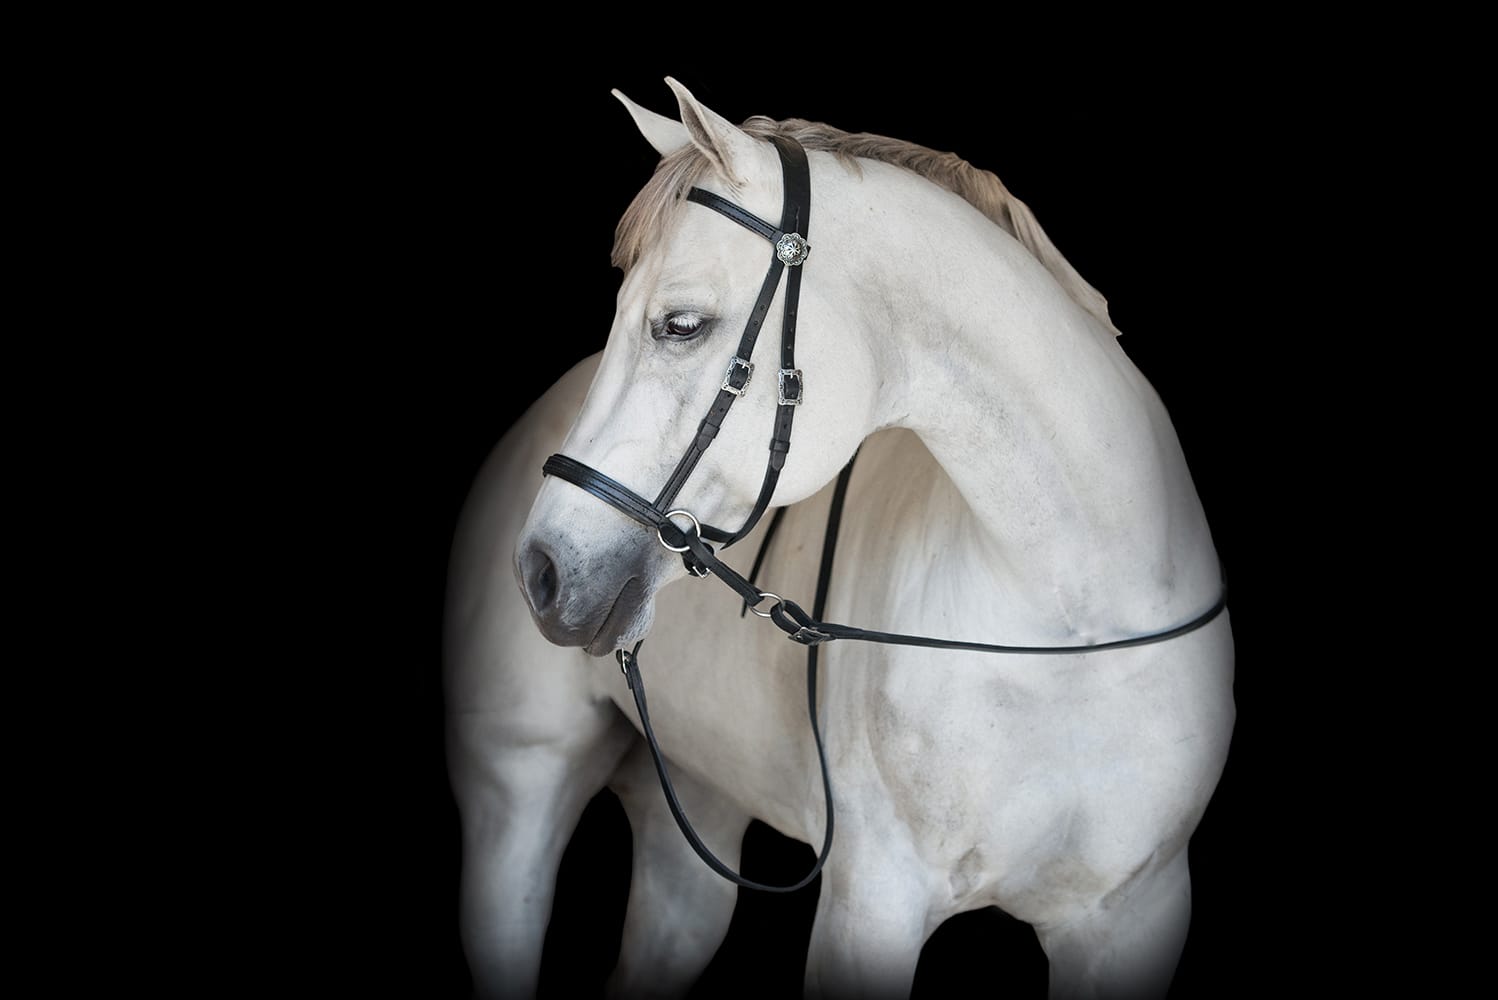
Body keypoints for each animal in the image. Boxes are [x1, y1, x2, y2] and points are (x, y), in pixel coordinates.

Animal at [449, 78, 1234, 999]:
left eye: (680, 325)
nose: (541, 571)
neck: (1073, 623)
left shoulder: (1133, 917)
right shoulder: (874, 902)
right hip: (517, 798)